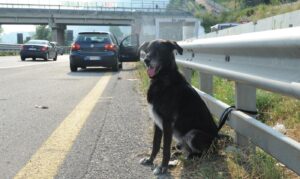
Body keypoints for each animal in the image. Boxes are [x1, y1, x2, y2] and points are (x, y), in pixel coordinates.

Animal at [139, 39, 219, 175]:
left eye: (160, 50)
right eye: (147, 50)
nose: (146, 60)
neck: (162, 79)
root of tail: (219, 142)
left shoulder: (167, 122)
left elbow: (165, 149)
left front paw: (163, 167)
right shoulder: (157, 122)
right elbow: (155, 144)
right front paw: (150, 160)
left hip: (193, 134)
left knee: (203, 153)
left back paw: (190, 156)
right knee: (183, 148)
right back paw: (179, 153)